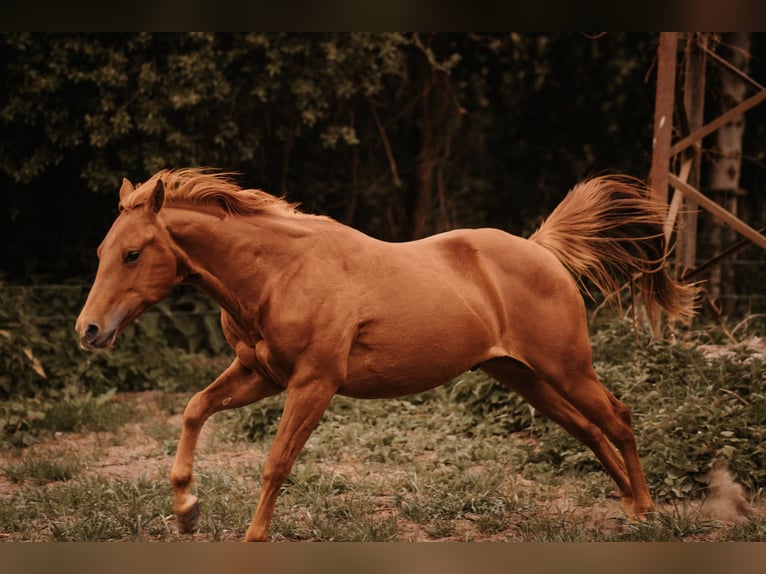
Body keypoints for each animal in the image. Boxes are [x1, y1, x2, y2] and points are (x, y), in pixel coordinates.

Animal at [75, 168, 697, 541]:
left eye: (133, 253)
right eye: (102, 249)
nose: (88, 330)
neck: (279, 273)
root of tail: (542, 249)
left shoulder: (313, 383)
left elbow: (276, 463)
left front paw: (252, 537)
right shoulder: (258, 374)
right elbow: (193, 410)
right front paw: (187, 511)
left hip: (566, 368)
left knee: (617, 417)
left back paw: (646, 510)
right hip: (523, 376)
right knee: (588, 430)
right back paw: (628, 504)